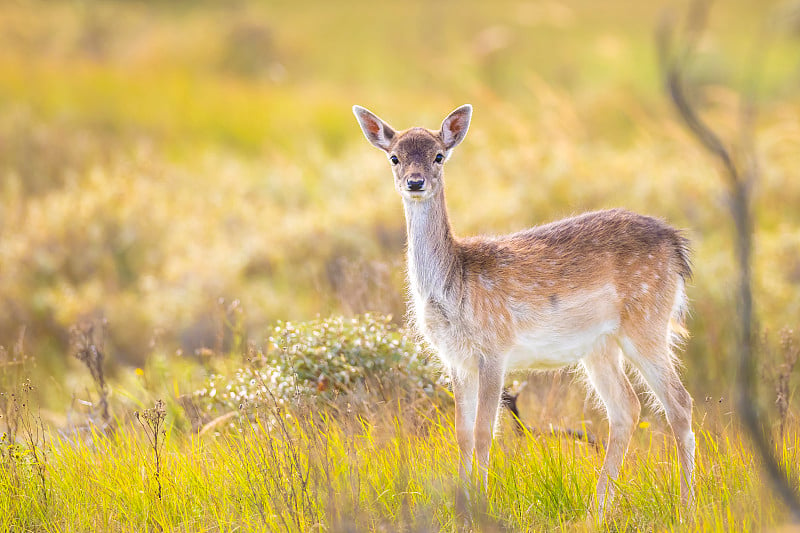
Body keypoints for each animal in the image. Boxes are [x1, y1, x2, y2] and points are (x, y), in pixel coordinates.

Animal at [354, 103, 696, 512]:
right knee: (626, 408)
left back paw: (686, 507)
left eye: (438, 155)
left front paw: (481, 503)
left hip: (647, 321)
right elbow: (462, 432)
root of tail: (677, 245)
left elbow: (485, 431)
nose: (415, 182)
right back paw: (597, 509)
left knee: (679, 402)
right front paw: (463, 504)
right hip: (599, 345)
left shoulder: (494, 348)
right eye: (395, 157)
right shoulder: (455, 358)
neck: (453, 288)